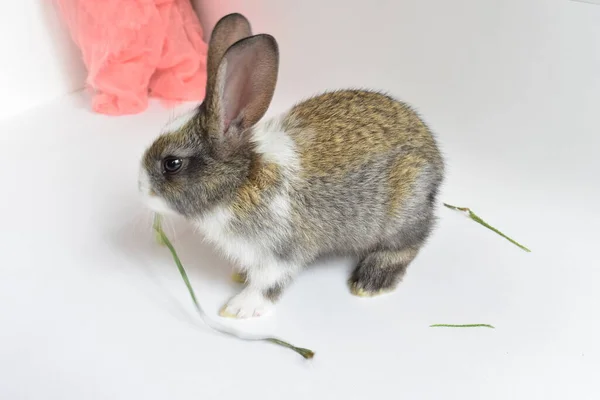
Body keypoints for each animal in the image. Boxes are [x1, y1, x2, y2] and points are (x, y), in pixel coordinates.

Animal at [138, 13, 442, 318]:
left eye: (172, 164)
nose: (141, 189)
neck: (240, 182)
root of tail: (435, 157)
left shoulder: (279, 252)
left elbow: (267, 283)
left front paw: (238, 308)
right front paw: (240, 276)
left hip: (402, 211)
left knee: (410, 242)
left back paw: (371, 281)